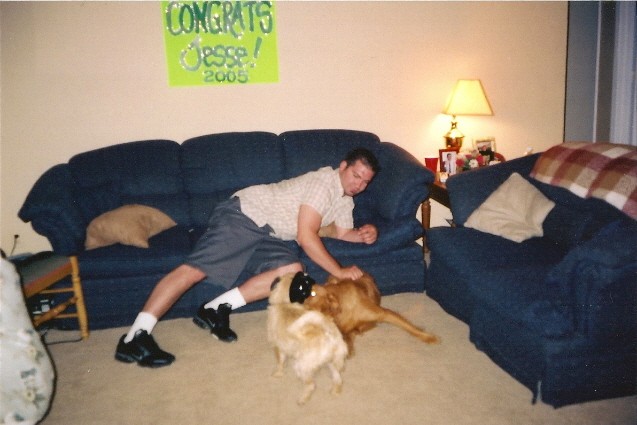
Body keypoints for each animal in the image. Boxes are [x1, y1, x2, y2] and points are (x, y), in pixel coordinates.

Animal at [266, 272, 348, 405]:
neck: (284, 303)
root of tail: (330, 336)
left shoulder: (279, 348)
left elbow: (280, 363)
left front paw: (278, 373)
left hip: (301, 366)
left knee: (311, 385)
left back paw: (303, 399)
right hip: (331, 363)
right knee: (338, 379)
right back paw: (335, 391)